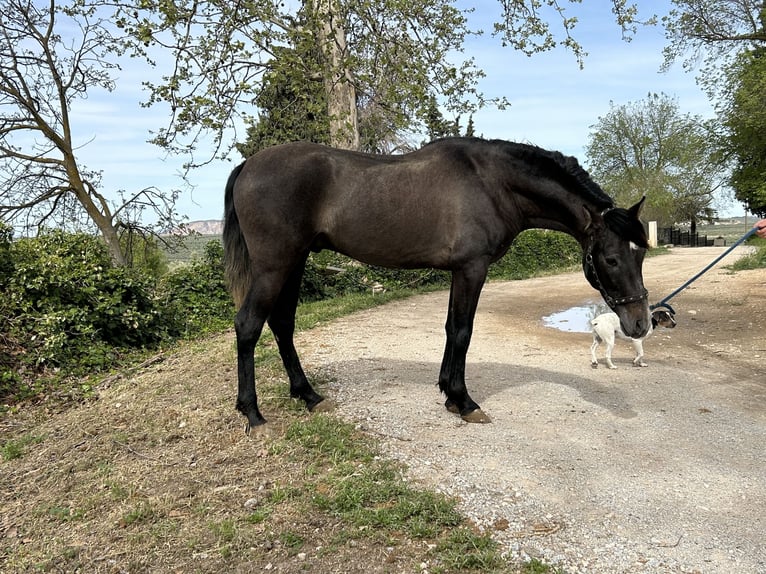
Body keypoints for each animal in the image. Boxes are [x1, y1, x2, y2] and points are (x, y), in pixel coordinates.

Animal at [225, 136, 652, 432]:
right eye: (611, 259)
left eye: (642, 253)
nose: (640, 323)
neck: (491, 182)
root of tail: (248, 165)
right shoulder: (471, 268)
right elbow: (462, 331)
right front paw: (465, 402)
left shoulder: (458, 271)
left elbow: (450, 329)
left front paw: (448, 392)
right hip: (274, 266)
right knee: (248, 326)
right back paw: (254, 414)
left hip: (294, 264)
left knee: (282, 324)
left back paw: (309, 396)